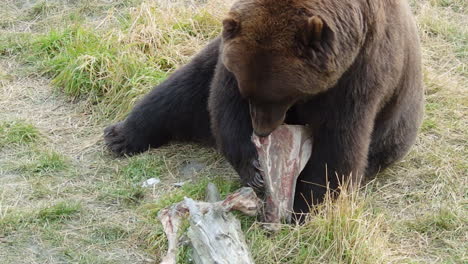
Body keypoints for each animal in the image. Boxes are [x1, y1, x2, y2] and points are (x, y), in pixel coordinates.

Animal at [102, 0, 424, 213]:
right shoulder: (229, 60)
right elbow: (223, 107)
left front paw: (306, 205)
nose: (262, 130)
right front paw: (255, 169)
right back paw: (120, 135)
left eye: (284, 95)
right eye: (250, 93)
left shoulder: (358, 72)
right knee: (181, 91)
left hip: (393, 133)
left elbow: (339, 142)